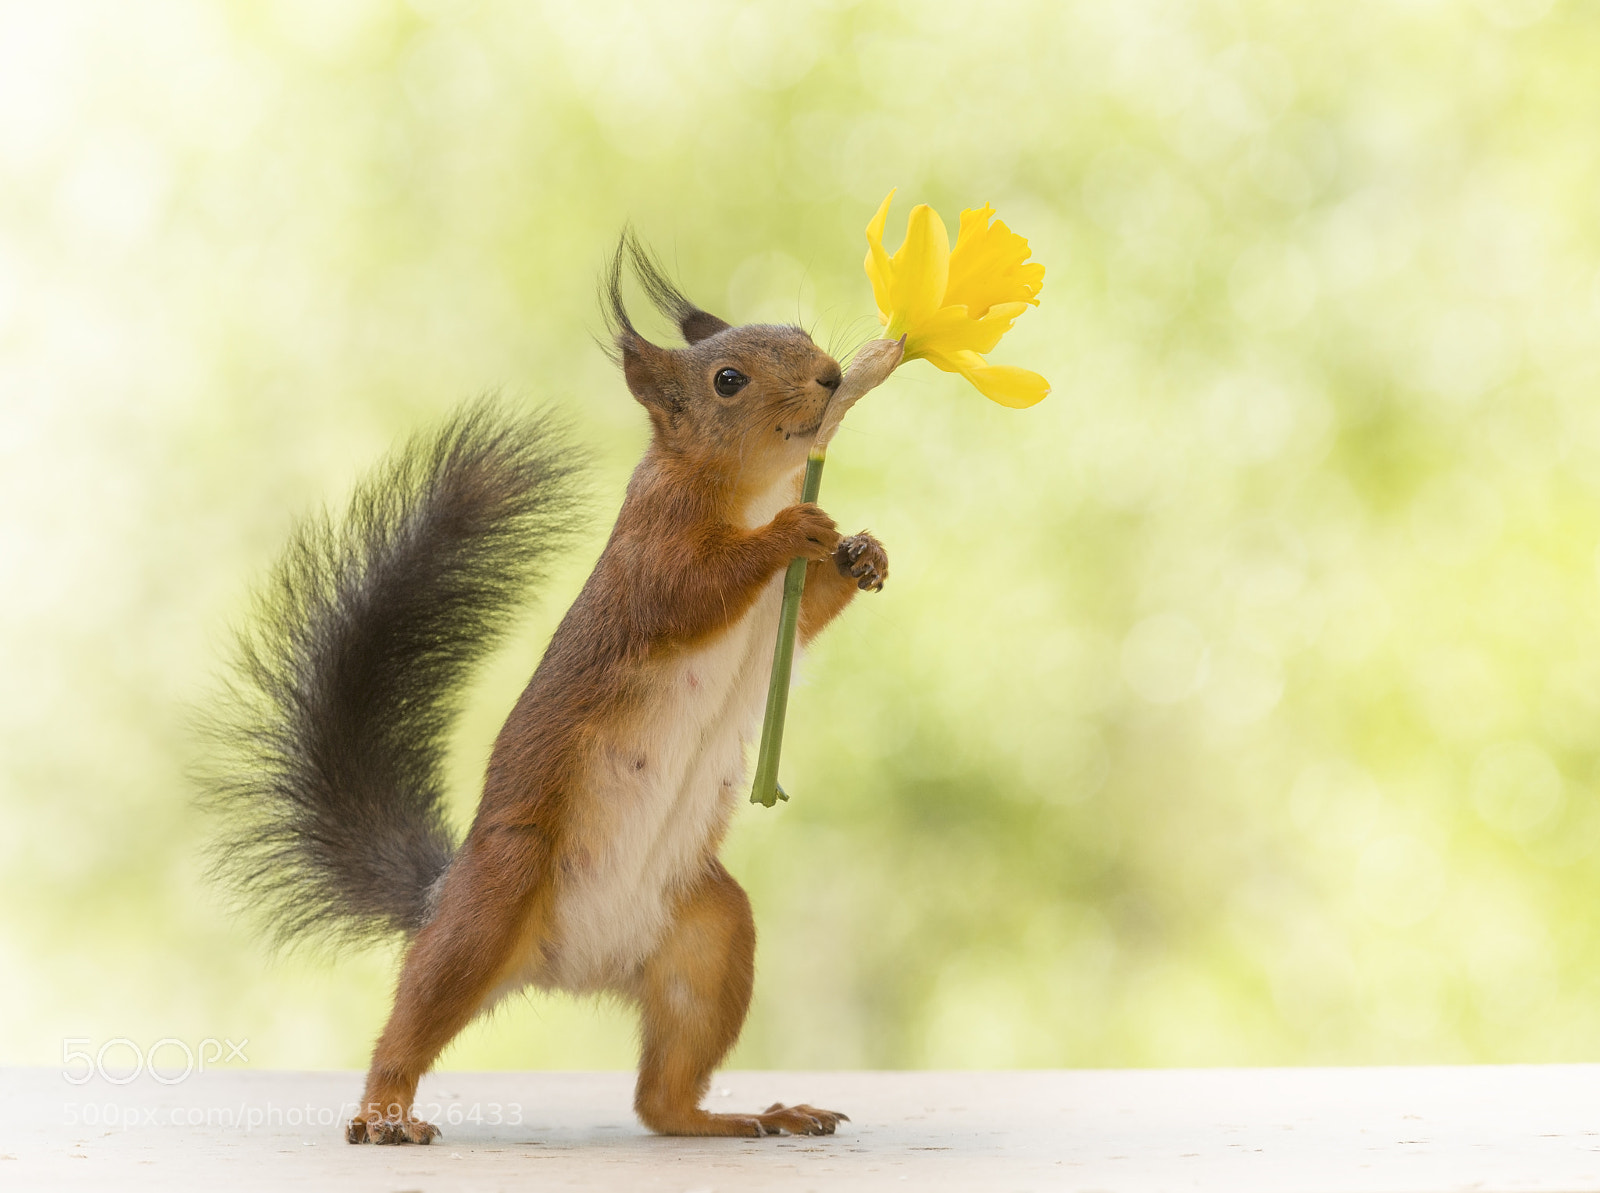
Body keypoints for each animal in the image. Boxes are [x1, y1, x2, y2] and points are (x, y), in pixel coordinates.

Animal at [201, 233, 892, 1144]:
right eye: (728, 380)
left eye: (801, 334)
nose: (829, 375)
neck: (753, 487)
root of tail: (571, 966)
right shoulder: (649, 558)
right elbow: (696, 590)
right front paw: (791, 530)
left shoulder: (783, 615)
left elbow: (809, 613)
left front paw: (863, 551)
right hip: (496, 897)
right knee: (414, 1018)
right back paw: (384, 1114)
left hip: (711, 932)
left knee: (660, 1099)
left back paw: (744, 1113)